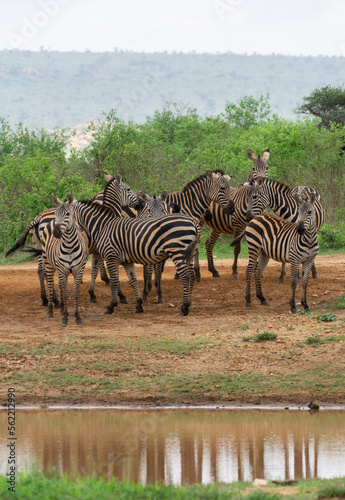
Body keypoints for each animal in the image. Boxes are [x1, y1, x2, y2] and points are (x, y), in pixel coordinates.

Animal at [39, 193, 88, 326]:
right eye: (56, 213)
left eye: (67, 214)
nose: (56, 232)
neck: (69, 246)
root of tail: (50, 221)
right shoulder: (62, 270)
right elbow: (66, 294)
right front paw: (65, 317)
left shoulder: (78, 270)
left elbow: (75, 293)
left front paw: (77, 316)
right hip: (48, 263)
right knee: (50, 283)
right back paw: (50, 310)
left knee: (59, 284)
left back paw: (61, 308)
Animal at [72, 199, 200, 316]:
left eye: (68, 215)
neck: (103, 227)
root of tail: (192, 221)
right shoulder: (126, 261)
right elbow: (133, 280)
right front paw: (139, 304)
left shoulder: (111, 257)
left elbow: (114, 281)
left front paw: (111, 305)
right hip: (190, 253)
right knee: (191, 275)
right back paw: (188, 303)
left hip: (176, 251)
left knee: (185, 276)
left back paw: (184, 307)